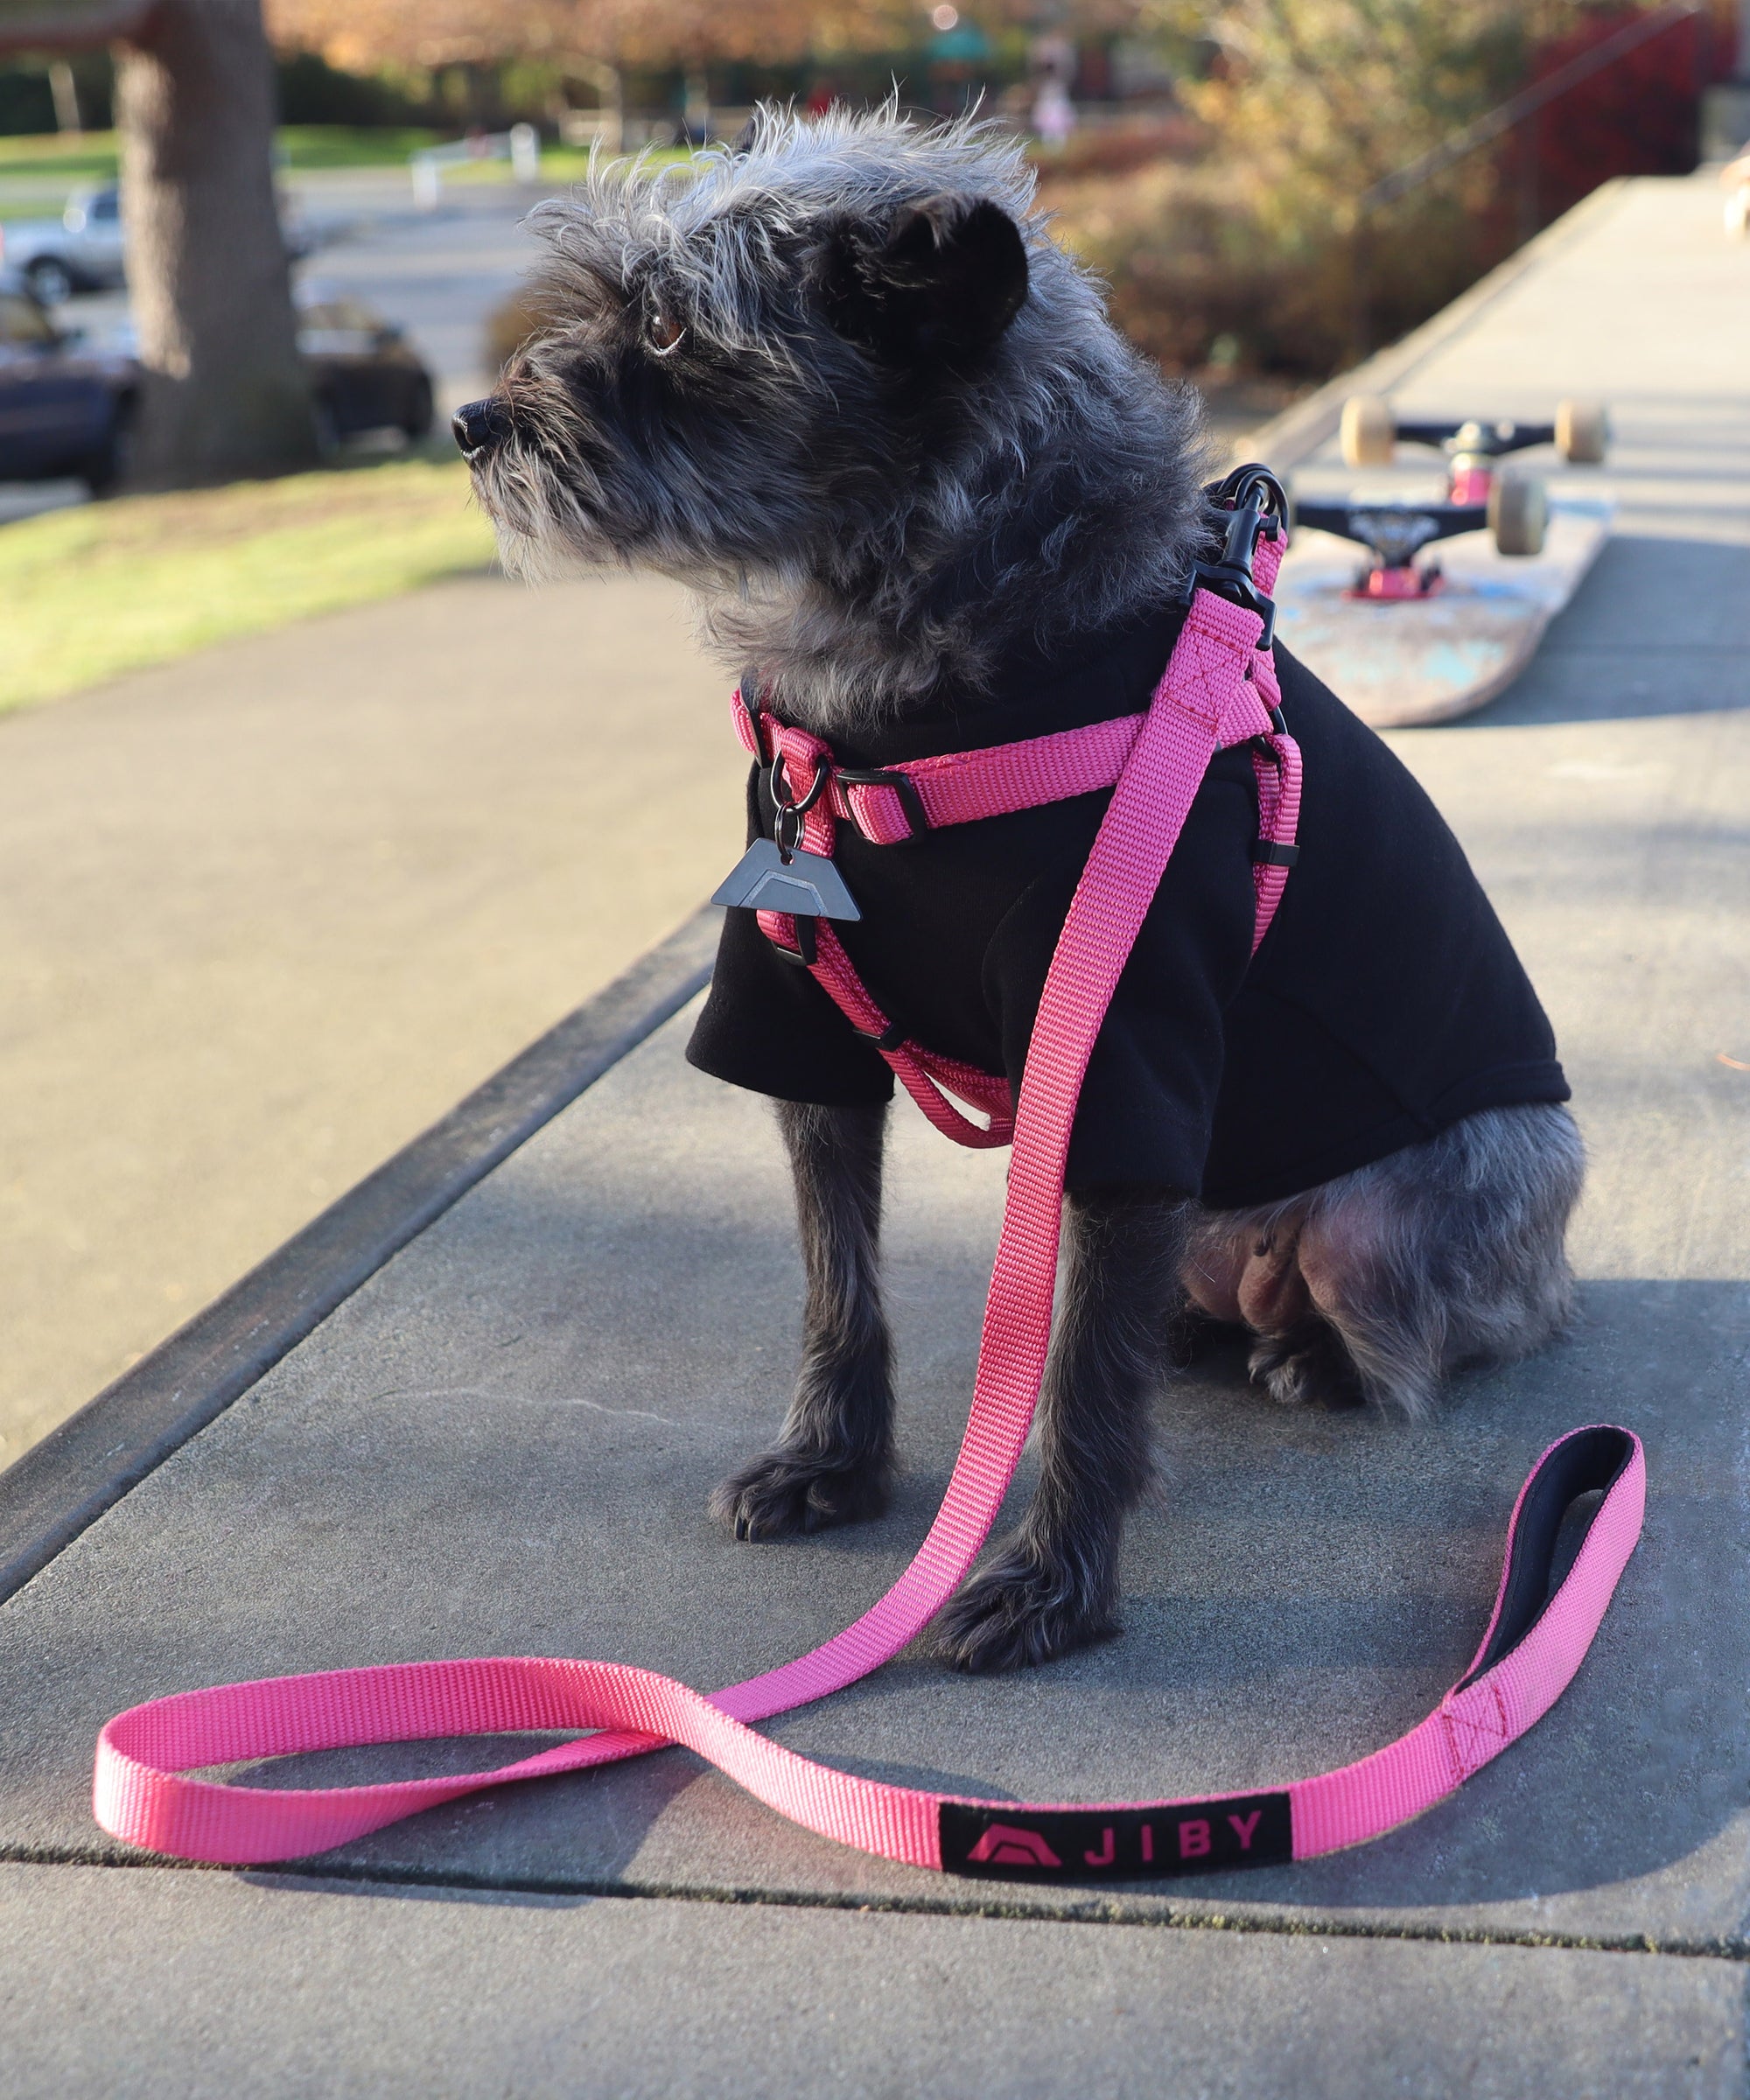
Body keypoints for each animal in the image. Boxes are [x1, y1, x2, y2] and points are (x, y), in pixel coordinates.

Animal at [458, 106, 1588, 1671]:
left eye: (677, 328)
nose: (469, 424)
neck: (920, 712)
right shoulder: (806, 1034)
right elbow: (840, 1284)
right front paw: (835, 1463)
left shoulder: (1115, 1058)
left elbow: (1077, 1385)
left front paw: (1057, 1586)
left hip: (1385, 1224)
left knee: (1420, 1327)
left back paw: (1310, 1354)